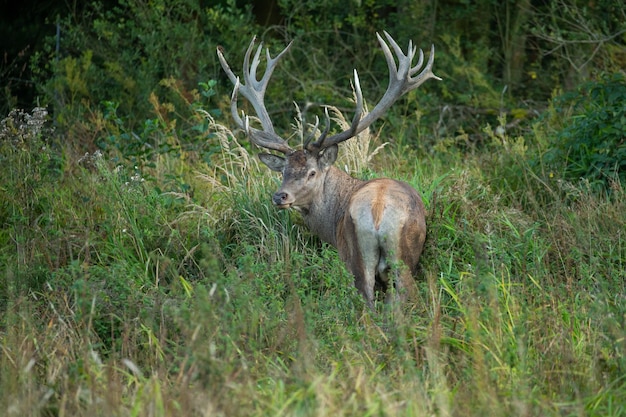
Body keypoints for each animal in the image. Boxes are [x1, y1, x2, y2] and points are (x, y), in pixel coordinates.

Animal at [217, 31, 442, 308]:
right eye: (283, 171)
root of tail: (378, 212)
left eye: (312, 172)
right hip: (385, 258)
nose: (280, 196)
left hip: (368, 258)